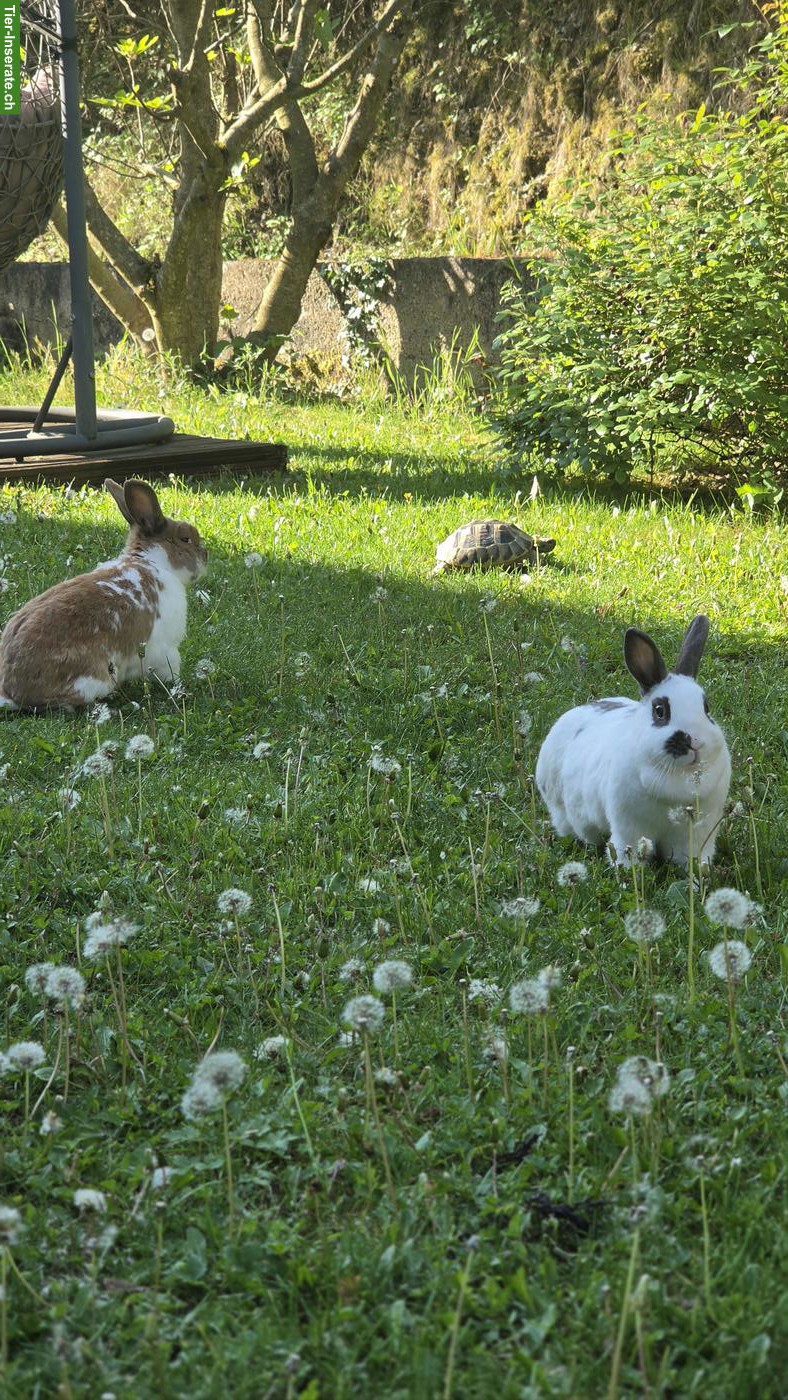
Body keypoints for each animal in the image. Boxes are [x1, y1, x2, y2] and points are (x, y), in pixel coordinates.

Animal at [0, 478, 207, 712]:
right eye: (186, 538)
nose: (205, 555)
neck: (154, 562)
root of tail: (13, 691)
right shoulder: (166, 650)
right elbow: (170, 669)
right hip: (94, 680)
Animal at [535, 615, 731, 866]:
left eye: (706, 708)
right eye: (660, 711)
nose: (695, 740)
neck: (679, 778)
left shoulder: (698, 830)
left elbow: (691, 853)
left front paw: (697, 872)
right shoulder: (629, 826)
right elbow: (627, 847)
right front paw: (627, 870)